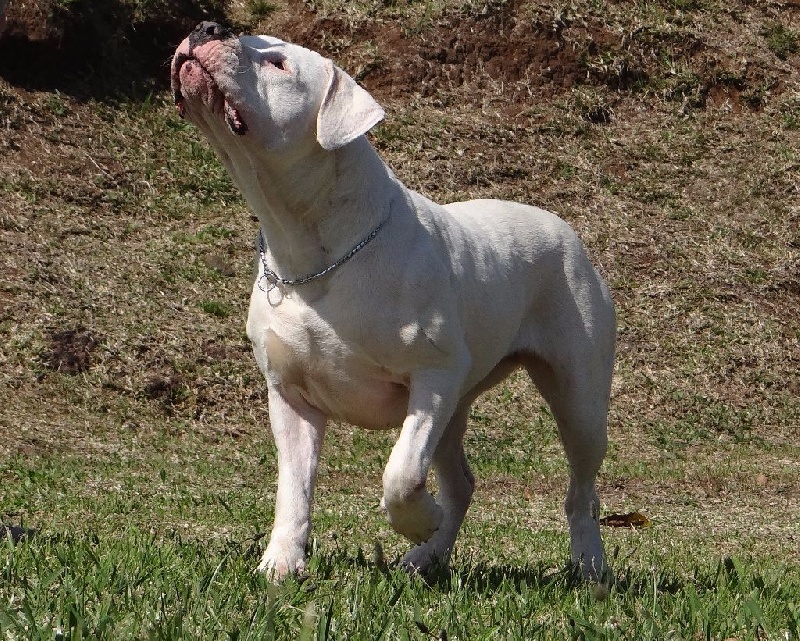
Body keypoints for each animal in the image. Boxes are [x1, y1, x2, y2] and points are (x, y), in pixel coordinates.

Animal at [172, 21, 616, 580]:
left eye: (278, 63)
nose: (207, 27)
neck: (317, 246)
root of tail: (567, 232)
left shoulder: (433, 376)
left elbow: (401, 472)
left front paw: (416, 519)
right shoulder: (290, 396)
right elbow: (294, 487)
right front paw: (282, 564)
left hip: (577, 397)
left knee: (582, 488)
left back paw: (589, 566)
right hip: (459, 405)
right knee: (461, 482)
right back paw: (428, 555)